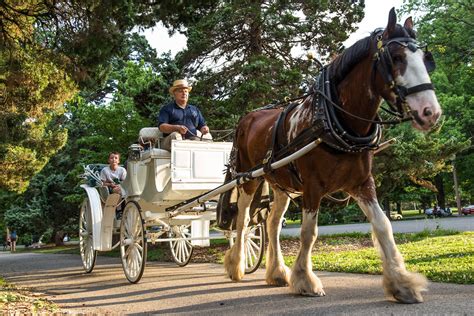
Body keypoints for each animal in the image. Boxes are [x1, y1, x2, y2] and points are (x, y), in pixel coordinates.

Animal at [222, 8, 440, 304]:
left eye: (426, 60)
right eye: (396, 58)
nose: (431, 112)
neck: (334, 118)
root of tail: (247, 117)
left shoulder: (362, 184)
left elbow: (383, 225)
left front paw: (401, 283)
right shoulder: (313, 187)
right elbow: (309, 233)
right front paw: (305, 280)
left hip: (280, 184)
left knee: (272, 223)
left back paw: (277, 272)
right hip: (248, 179)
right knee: (243, 220)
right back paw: (236, 265)